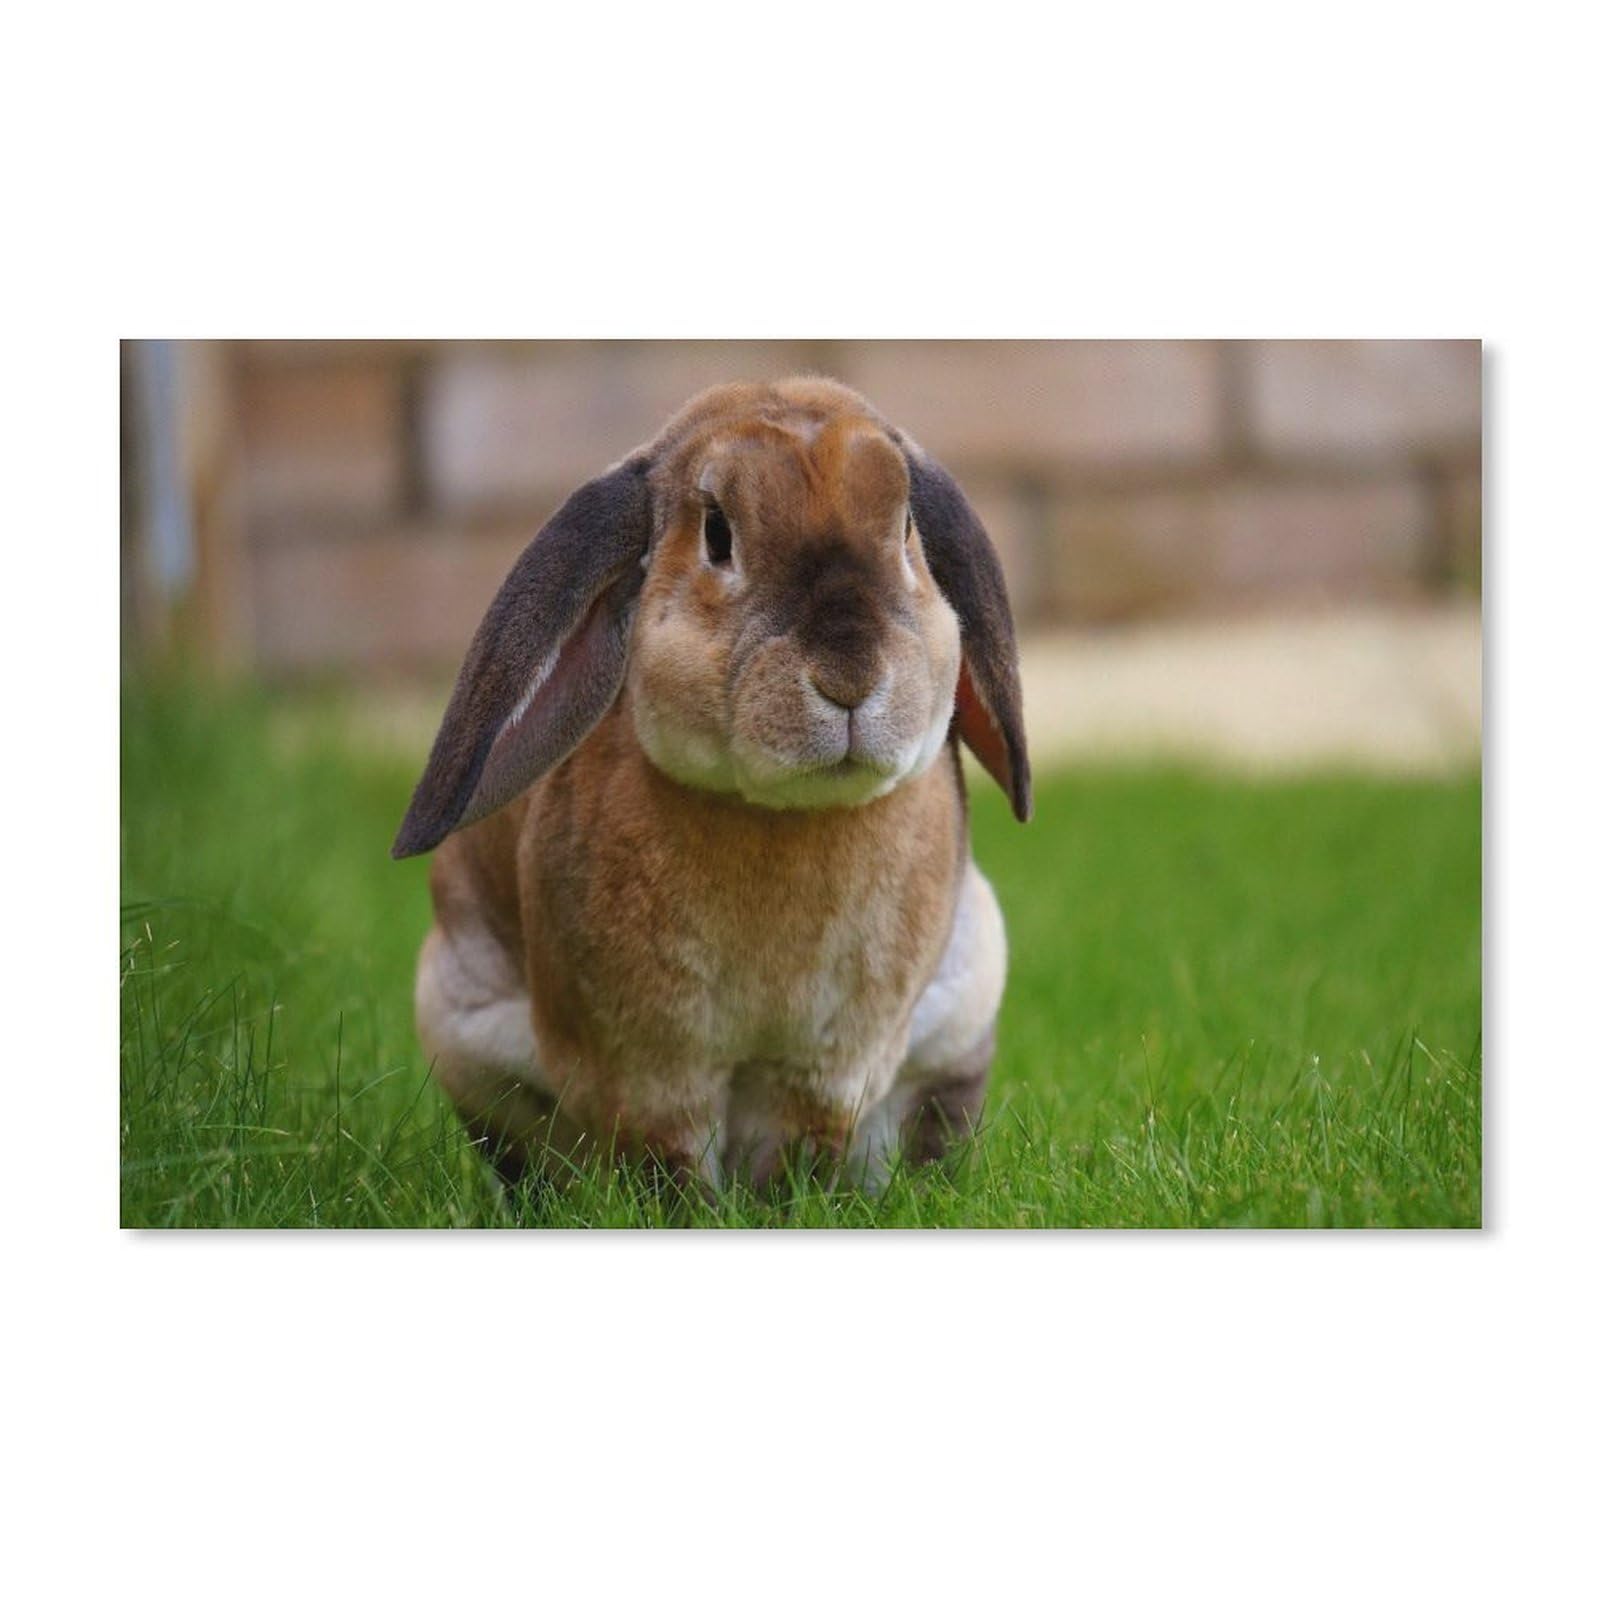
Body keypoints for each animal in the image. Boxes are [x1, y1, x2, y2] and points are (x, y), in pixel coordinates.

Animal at [392, 376, 1030, 1191]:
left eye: (907, 526)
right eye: (718, 534)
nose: (849, 677)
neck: (782, 817)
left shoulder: (825, 1068)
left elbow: (797, 1151)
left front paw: (790, 1204)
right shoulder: (651, 1071)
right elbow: (670, 1162)